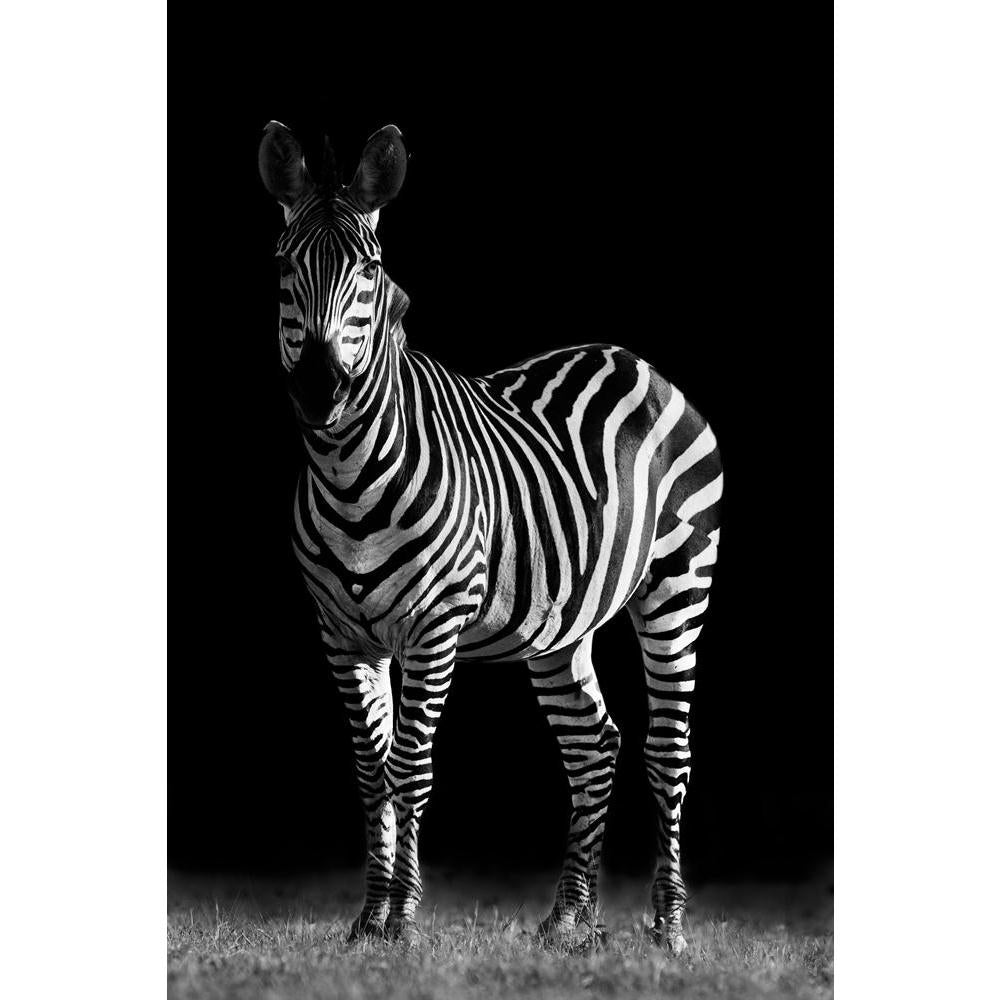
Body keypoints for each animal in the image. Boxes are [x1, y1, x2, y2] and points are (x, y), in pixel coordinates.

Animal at [258, 121, 722, 953]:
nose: (318, 388)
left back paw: (668, 929)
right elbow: (371, 775)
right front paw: (368, 918)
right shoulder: (342, 637)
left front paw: (402, 921)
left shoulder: (434, 628)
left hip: (680, 584)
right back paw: (569, 918)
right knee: (594, 745)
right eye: (283, 267)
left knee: (669, 750)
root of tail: (634, 361)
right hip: (558, 627)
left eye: (370, 270)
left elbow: (410, 769)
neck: (347, 471)